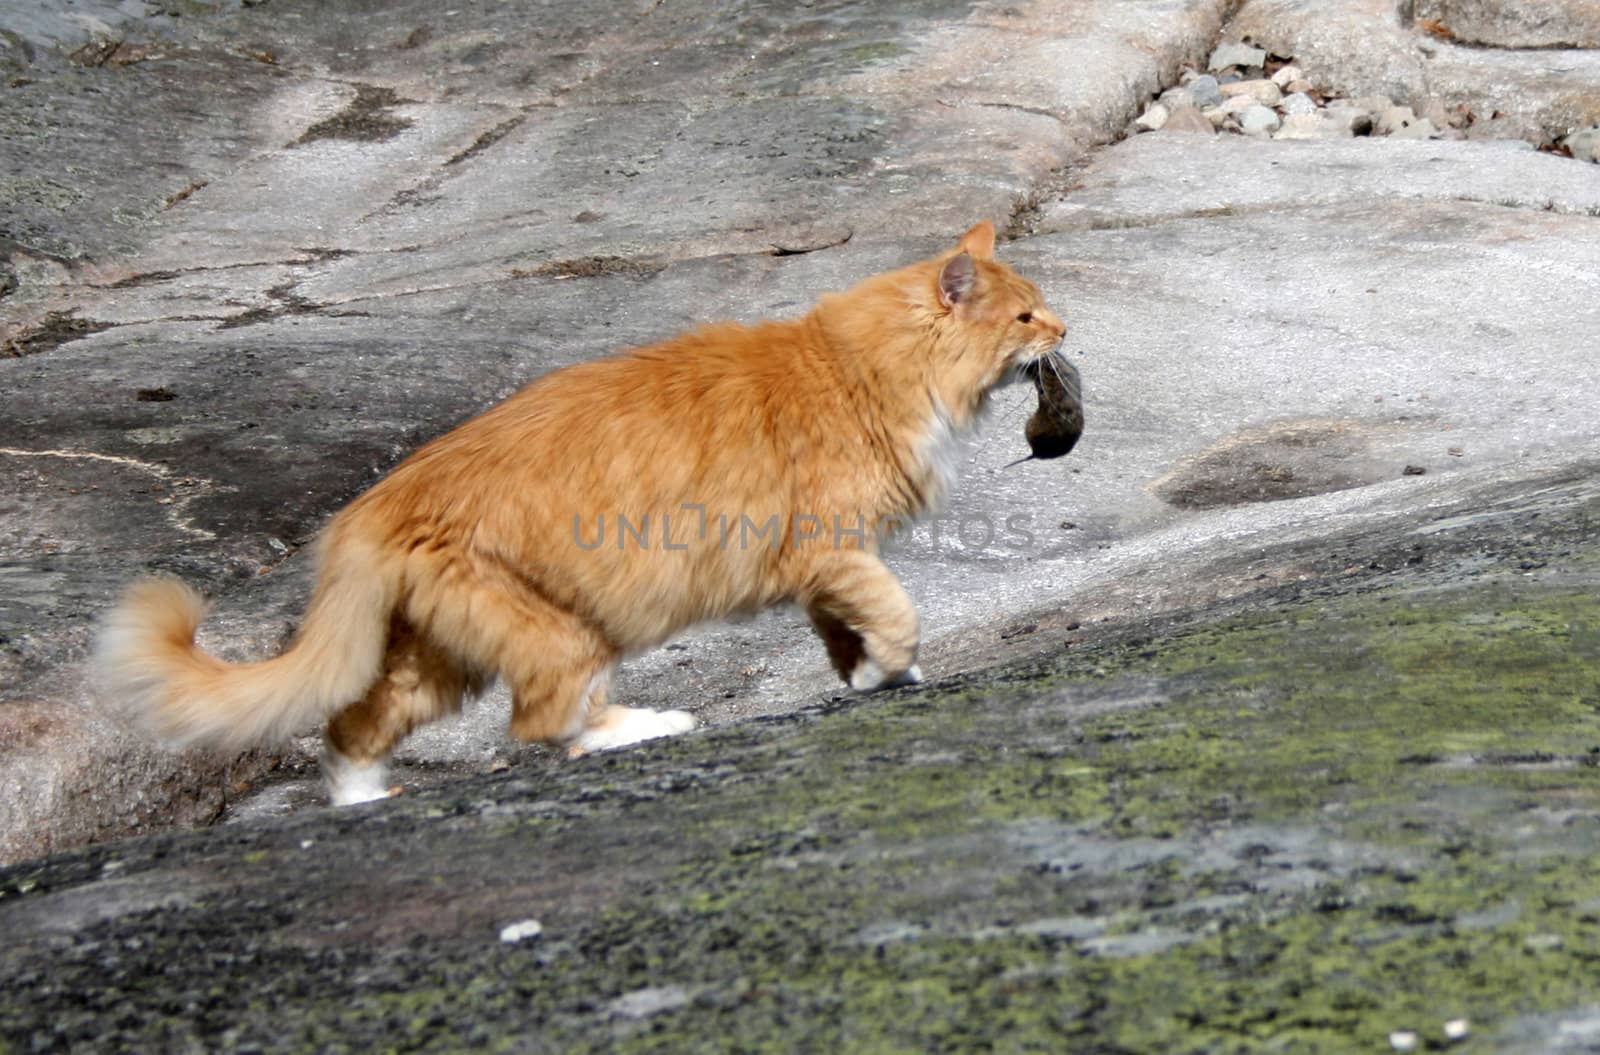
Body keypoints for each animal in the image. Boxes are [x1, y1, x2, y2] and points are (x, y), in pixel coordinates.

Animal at [96, 219, 1062, 803]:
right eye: (1025, 315)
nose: (1065, 330)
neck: (861, 368)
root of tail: (371, 505)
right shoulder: (831, 547)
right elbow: (896, 610)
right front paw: (889, 668)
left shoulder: (827, 569)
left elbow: (847, 630)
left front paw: (869, 677)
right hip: (566, 630)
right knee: (545, 722)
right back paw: (652, 725)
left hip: (448, 655)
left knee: (359, 725)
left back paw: (362, 799)